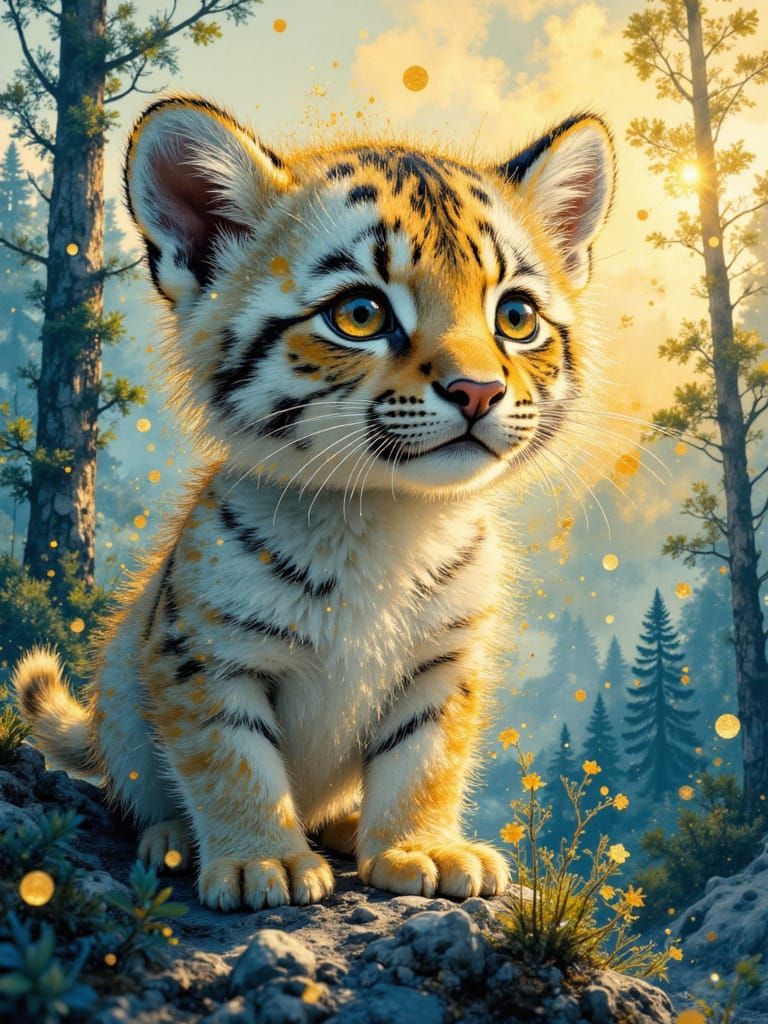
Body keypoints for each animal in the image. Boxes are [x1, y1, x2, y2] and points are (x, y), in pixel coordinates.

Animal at [13, 95, 615, 911]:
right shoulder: (205, 656)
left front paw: (422, 849)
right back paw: (173, 839)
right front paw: (259, 862)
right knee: (134, 788)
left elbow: (425, 758)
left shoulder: (444, 660)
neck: (385, 518)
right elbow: (231, 759)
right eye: (359, 313)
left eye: (516, 317)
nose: (478, 390)